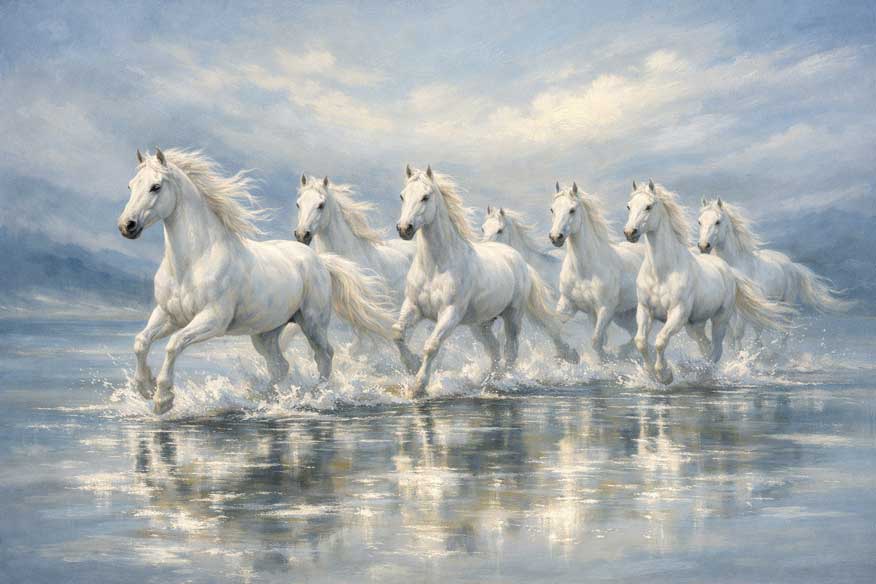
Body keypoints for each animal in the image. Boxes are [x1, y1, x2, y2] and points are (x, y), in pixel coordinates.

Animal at [117, 148, 397, 414]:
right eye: (130, 186)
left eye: (156, 186)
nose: (126, 226)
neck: (193, 262)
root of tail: (319, 260)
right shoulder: (168, 315)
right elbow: (141, 341)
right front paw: (145, 387)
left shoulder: (212, 320)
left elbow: (173, 344)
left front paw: (162, 399)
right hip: (266, 332)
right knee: (280, 366)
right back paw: (269, 399)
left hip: (312, 323)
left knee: (324, 355)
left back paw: (319, 396)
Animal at [393, 165, 579, 398]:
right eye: (402, 196)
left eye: (425, 197)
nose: (404, 228)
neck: (436, 267)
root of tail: (519, 260)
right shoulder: (412, 307)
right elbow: (397, 333)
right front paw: (412, 365)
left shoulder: (449, 314)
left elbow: (432, 345)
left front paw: (418, 387)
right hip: (481, 324)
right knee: (494, 350)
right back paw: (488, 380)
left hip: (512, 316)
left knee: (510, 351)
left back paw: (501, 382)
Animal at [548, 181, 645, 360]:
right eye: (552, 209)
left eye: (572, 210)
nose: (555, 237)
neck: (585, 271)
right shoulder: (567, 303)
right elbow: (554, 328)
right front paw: (568, 355)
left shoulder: (605, 309)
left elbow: (596, 340)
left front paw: (605, 359)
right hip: (624, 315)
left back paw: (621, 353)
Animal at [624, 180, 792, 384]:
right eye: (629, 206)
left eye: (648, 206)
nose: (629, 233)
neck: (662, 273)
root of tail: (728, 269)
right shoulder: (645, 310)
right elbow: (640, 342)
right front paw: (651, 374)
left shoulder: (677, 314)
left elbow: (660, 340)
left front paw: (665, 374)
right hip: (695, 324)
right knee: (707, 346)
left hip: (720, 319)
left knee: (716, 350)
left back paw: (705, 373)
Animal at [697, 197, 851, 347]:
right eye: (699, 222)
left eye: (718, 222)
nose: (703, 246)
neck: (737, 266)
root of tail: (792, 264)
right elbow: (729, 338)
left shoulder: (743, 312)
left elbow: (738, 336)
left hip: (786, 304)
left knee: (784, 332)